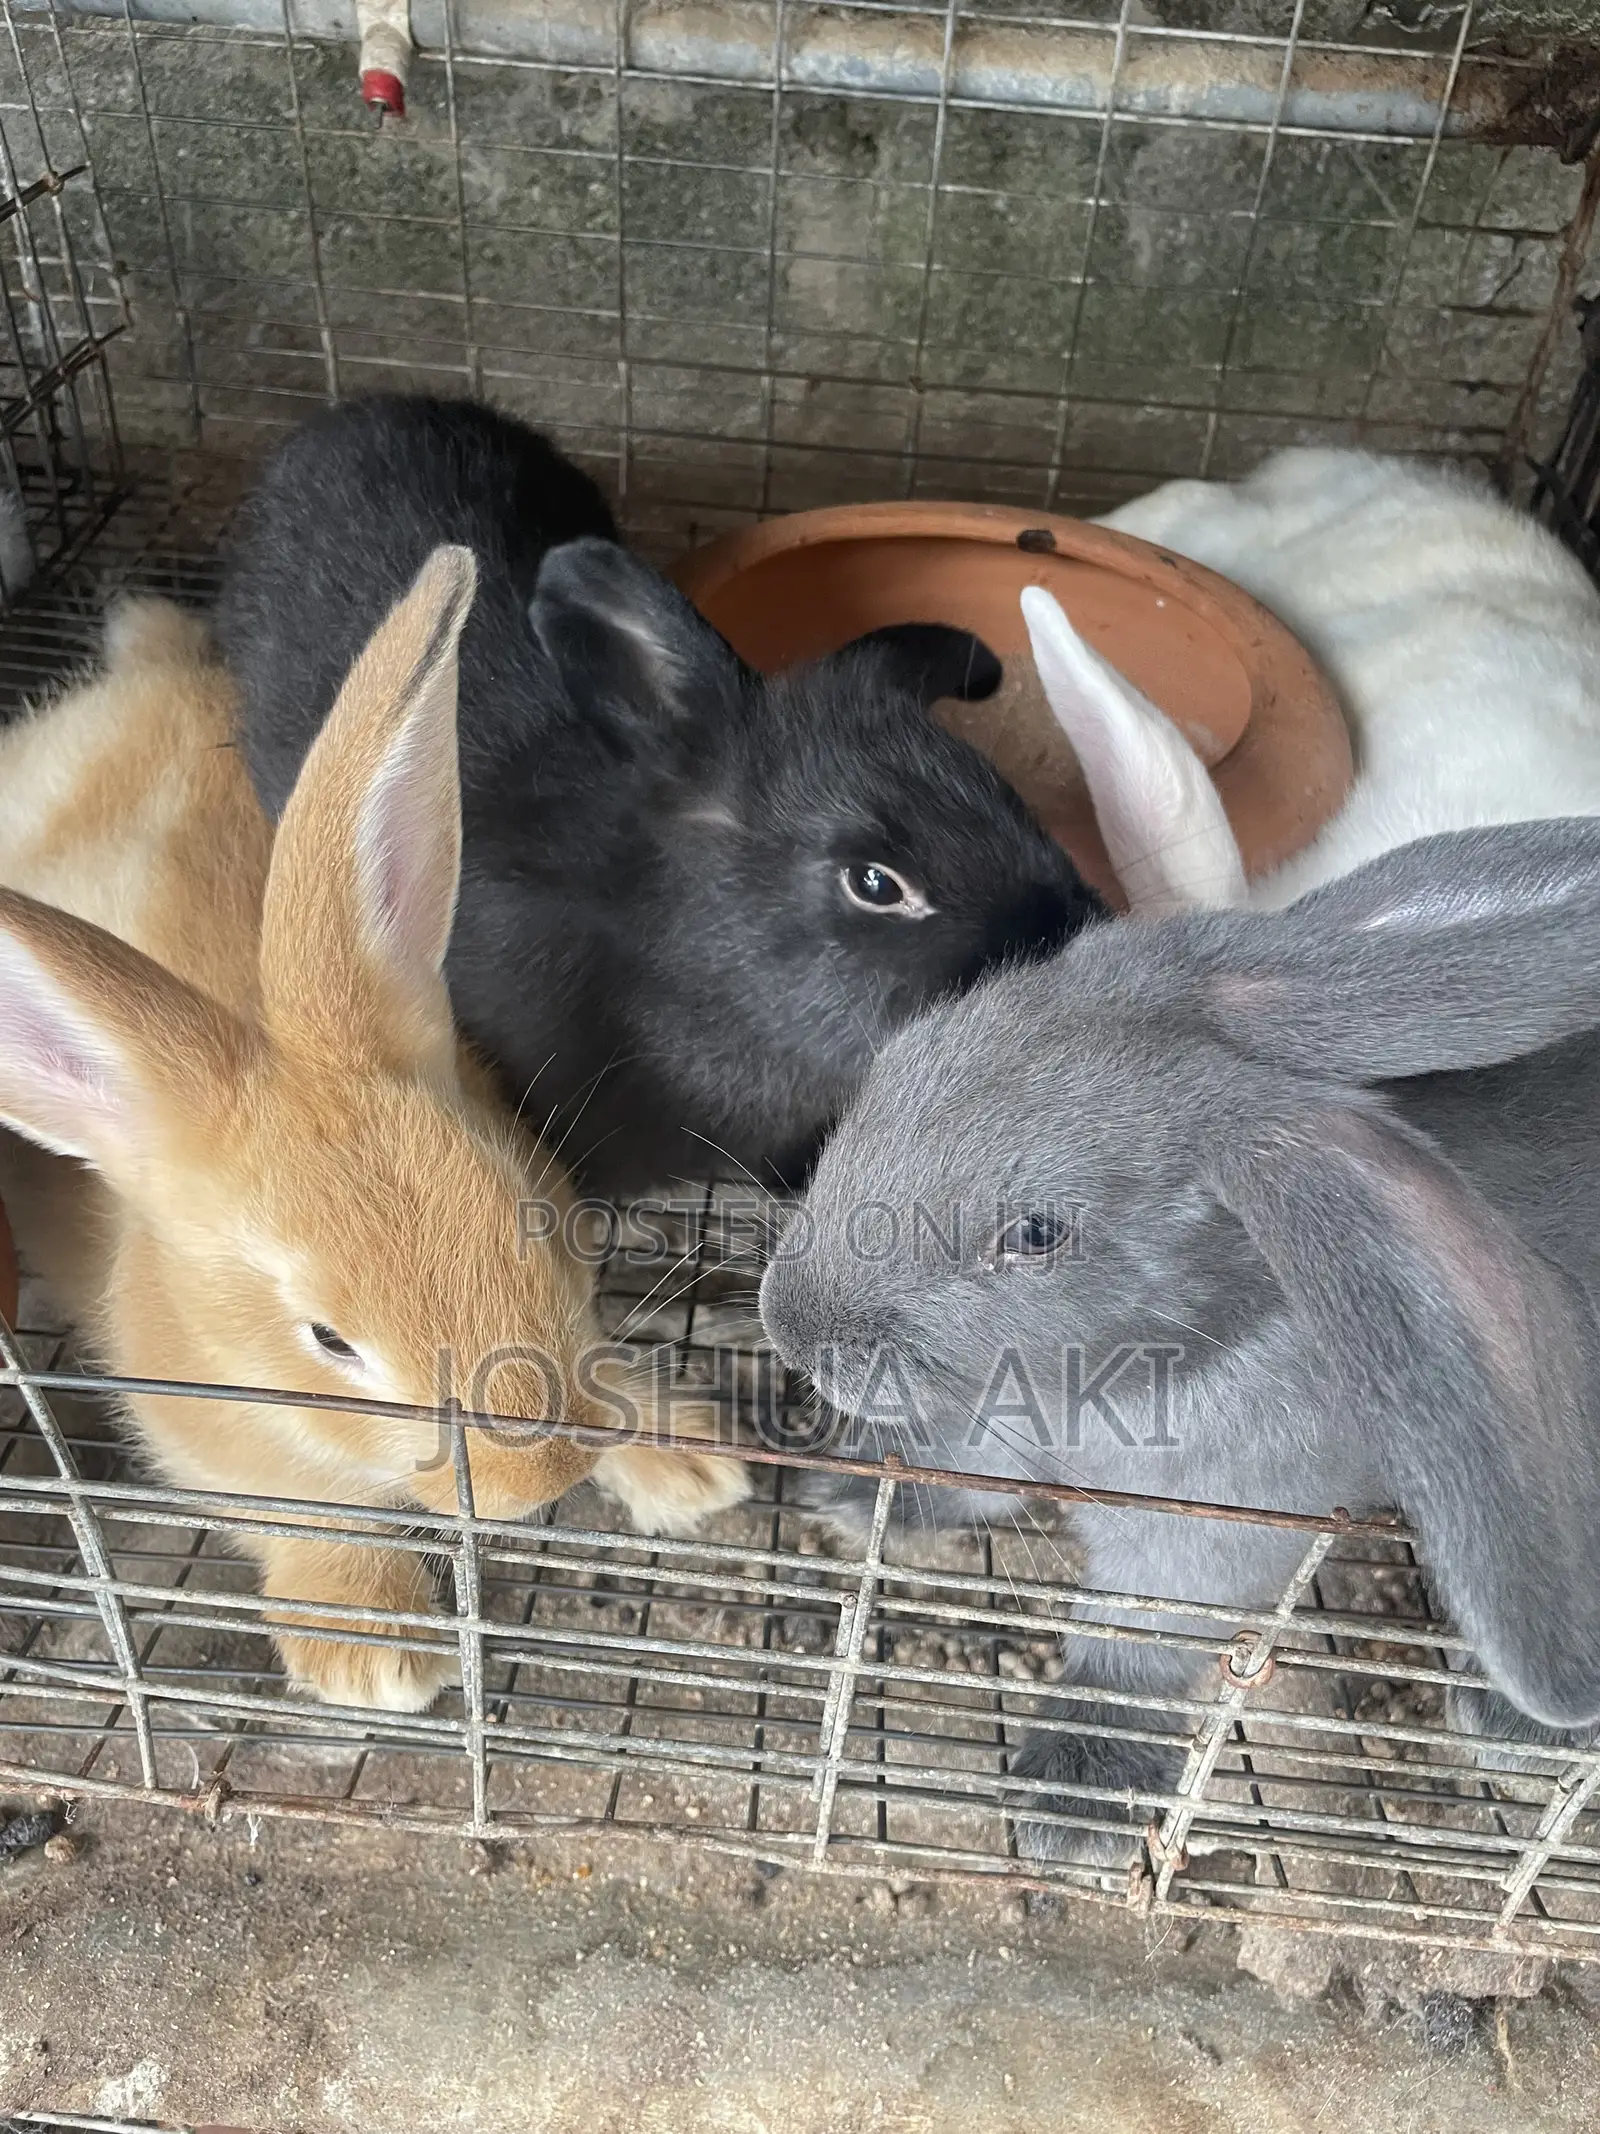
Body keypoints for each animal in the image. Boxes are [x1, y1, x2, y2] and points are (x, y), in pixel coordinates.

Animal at [0, 546, 747, 1714]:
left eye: (532, 1223)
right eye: (329, 1340)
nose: (544, 1478)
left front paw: (692, 1463)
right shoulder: (213, 1445)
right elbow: (299, 1522)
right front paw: (377, 1650)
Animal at [759, 818, 1600, 1862]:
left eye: (1037, 1233)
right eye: (907, 1052)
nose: (789, 1324)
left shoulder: (1204, 1534)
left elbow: (1134, 1646)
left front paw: (1074, 1796)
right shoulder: (995, 1431)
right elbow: (968, 1479)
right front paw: (851, 1493)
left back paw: (1512, 1725)